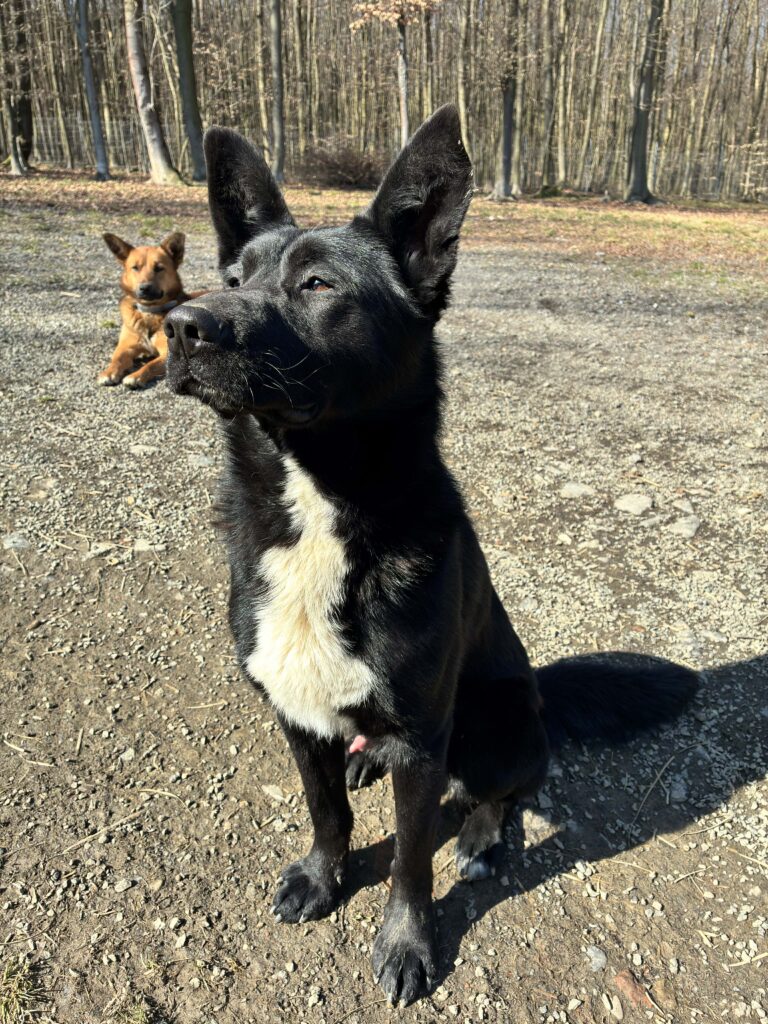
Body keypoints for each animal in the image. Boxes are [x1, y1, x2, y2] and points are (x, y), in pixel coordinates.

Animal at [98, 231, 203, 389]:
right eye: (135, 267)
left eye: (159, 268)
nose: (144, 288)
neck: (150, 311)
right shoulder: (126, 346)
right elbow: (117, 358)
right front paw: (109, 371)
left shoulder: (169, 352)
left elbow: (151, 365)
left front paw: (136, 376)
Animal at [165, 106, 698, 1006]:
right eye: (232, 274)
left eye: (318, 286)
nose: (178, 326)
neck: (322, 506)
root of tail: (540, 687)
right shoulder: (293, 713)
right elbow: (326, 813)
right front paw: (323, 875)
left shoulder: (423, 739)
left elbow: (412, 860)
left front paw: (409, 942)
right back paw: (363, 766)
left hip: (493, 719)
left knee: (512, 785)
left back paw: (479, 835)